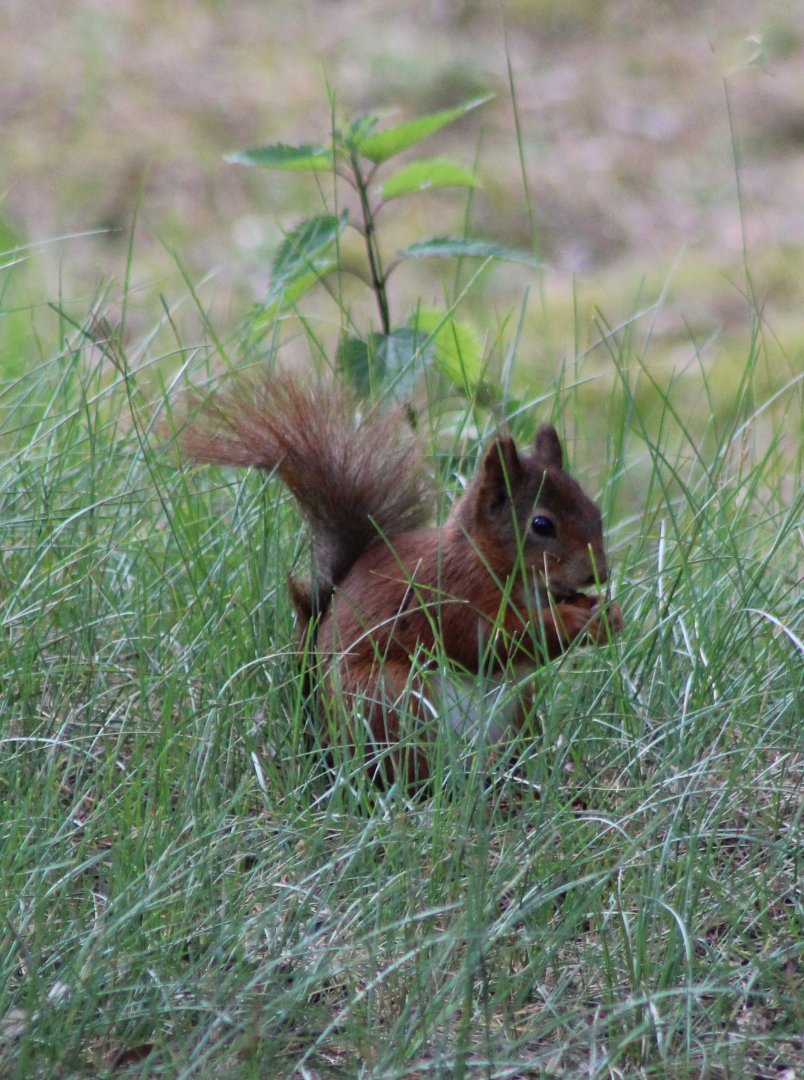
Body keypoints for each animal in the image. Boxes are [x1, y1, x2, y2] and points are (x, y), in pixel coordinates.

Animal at [182, 370, 623, 787]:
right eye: (541, 525)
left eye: (595, 510)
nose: (600, 572)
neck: (490, 562)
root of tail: (322, 749)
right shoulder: (450, 594)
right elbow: (491, 639)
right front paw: (578, 621)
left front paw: (607, 615)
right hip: (393, 698)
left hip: (515, 706)